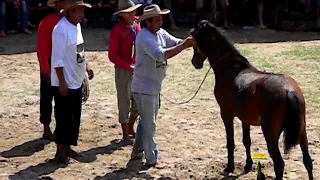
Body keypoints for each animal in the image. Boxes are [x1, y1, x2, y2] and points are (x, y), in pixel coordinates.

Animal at [190, 20, 312, 180]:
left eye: (194, 43)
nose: (194, 63)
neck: (231, 68)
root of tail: (289, 90)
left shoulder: (226, 114)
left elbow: (231, 142)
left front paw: (230, 167)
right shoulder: (245, 118)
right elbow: (246, 141)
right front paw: (248, 165)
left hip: (270, 133)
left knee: (279, 164)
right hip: (302, 132)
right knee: (307, 161)